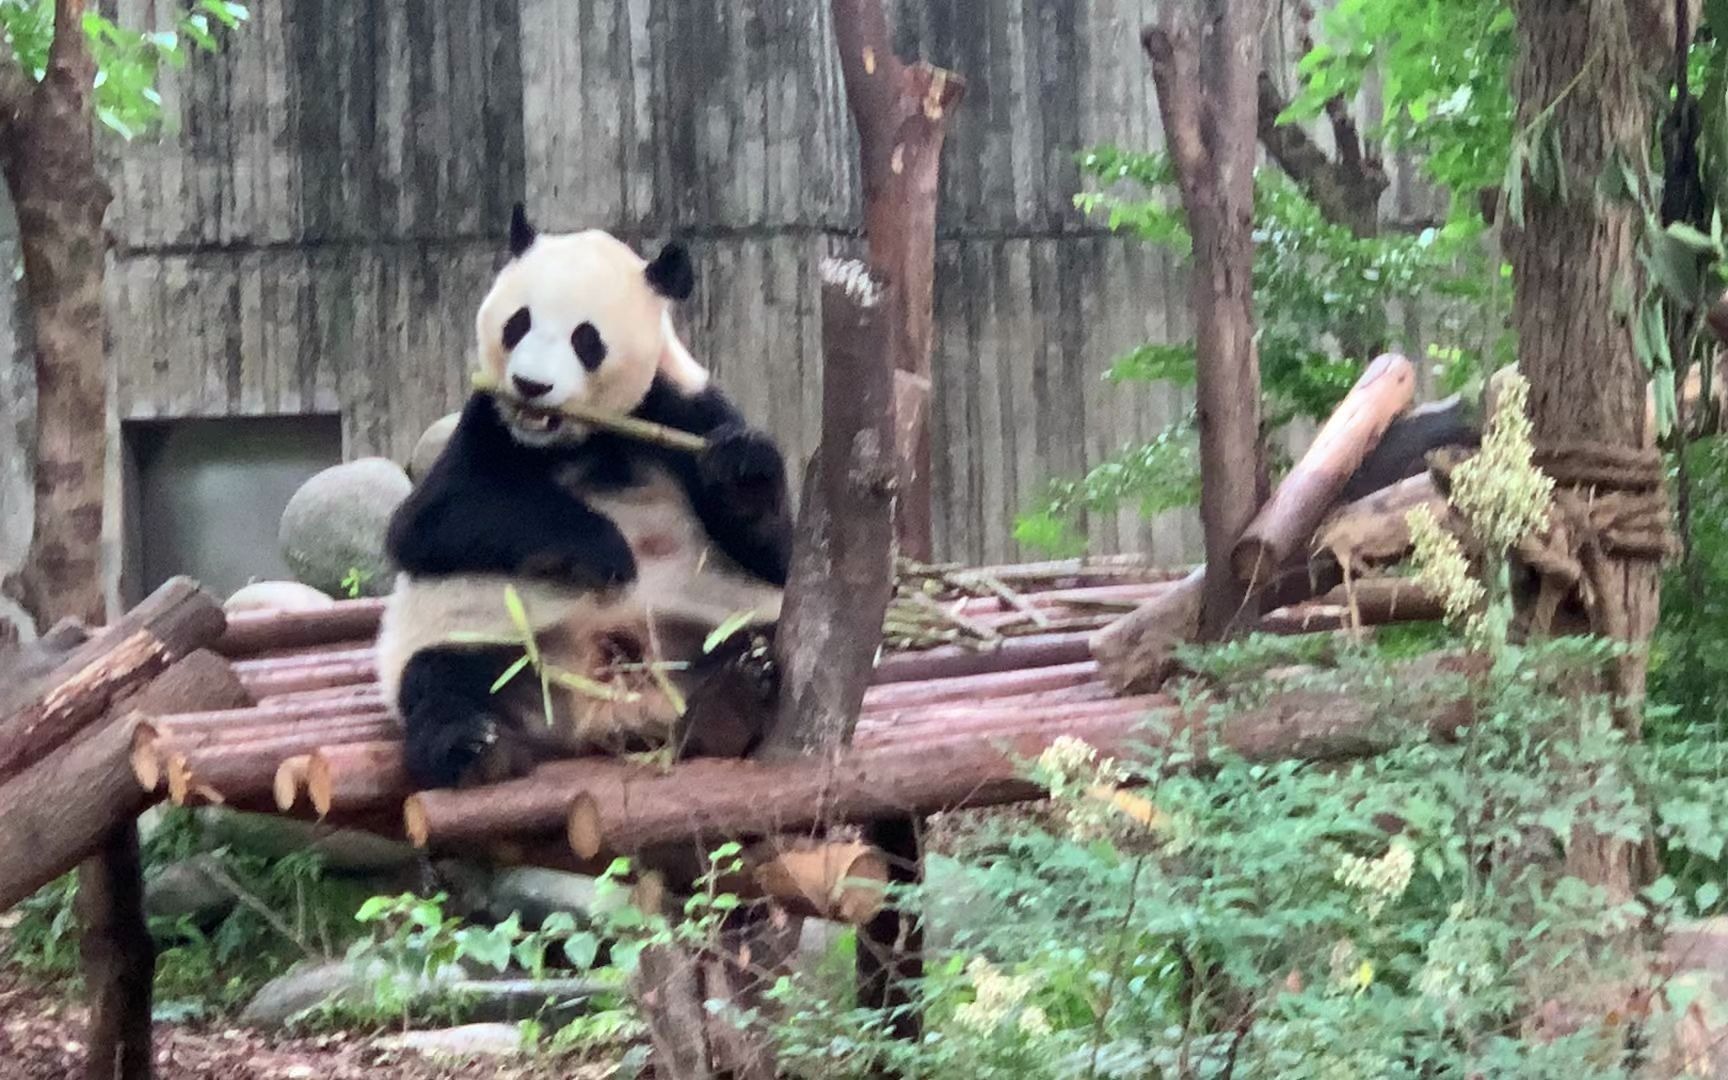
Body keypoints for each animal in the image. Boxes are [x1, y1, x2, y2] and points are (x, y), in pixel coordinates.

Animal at [374, 206, 791, 787]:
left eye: (585, 339)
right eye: (518, 323)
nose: (531, 385)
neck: (585, 435)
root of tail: (599, 718)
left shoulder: (683, 408)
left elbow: (777, 557)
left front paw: (744, 471)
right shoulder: (487, 422)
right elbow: (431, 520)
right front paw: (604, 550)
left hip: (708, 627)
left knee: (763, 641)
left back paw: (733, 702)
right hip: (484, 640)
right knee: (441, 682)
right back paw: (475, 749)